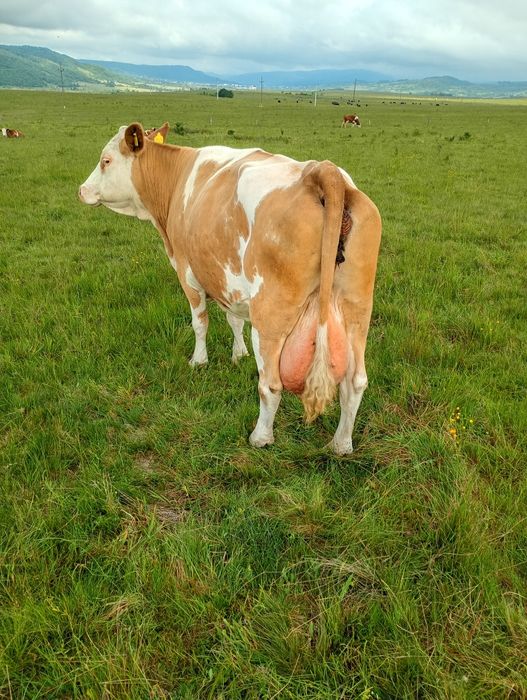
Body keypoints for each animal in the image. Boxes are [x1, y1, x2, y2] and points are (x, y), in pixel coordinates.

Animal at [78, 122, 381, 454]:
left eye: (106, 160)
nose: (81, 190)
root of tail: (321, 172)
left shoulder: (188, 272)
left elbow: (200, 322)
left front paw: (199, 361)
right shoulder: (227, 280)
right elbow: (233, 319)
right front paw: (239, 355)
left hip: (270, 316)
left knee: (270, 384)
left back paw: (261, 437)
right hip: (357, 309)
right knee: (355, 382)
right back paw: (341, 444)